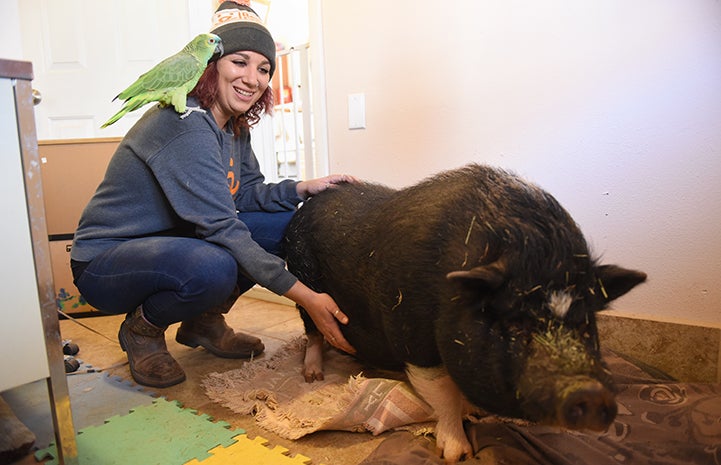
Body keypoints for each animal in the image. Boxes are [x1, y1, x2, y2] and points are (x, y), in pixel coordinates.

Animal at [282, 163, 648, 460]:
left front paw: (479, 415)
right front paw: (457, 453)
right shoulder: (413, 338)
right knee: (313, 332)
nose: (592, 393)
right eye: (514, 322)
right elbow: (443, 393)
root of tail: (304, 209)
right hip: (302, 283)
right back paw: (313, 375)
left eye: (585, 322)